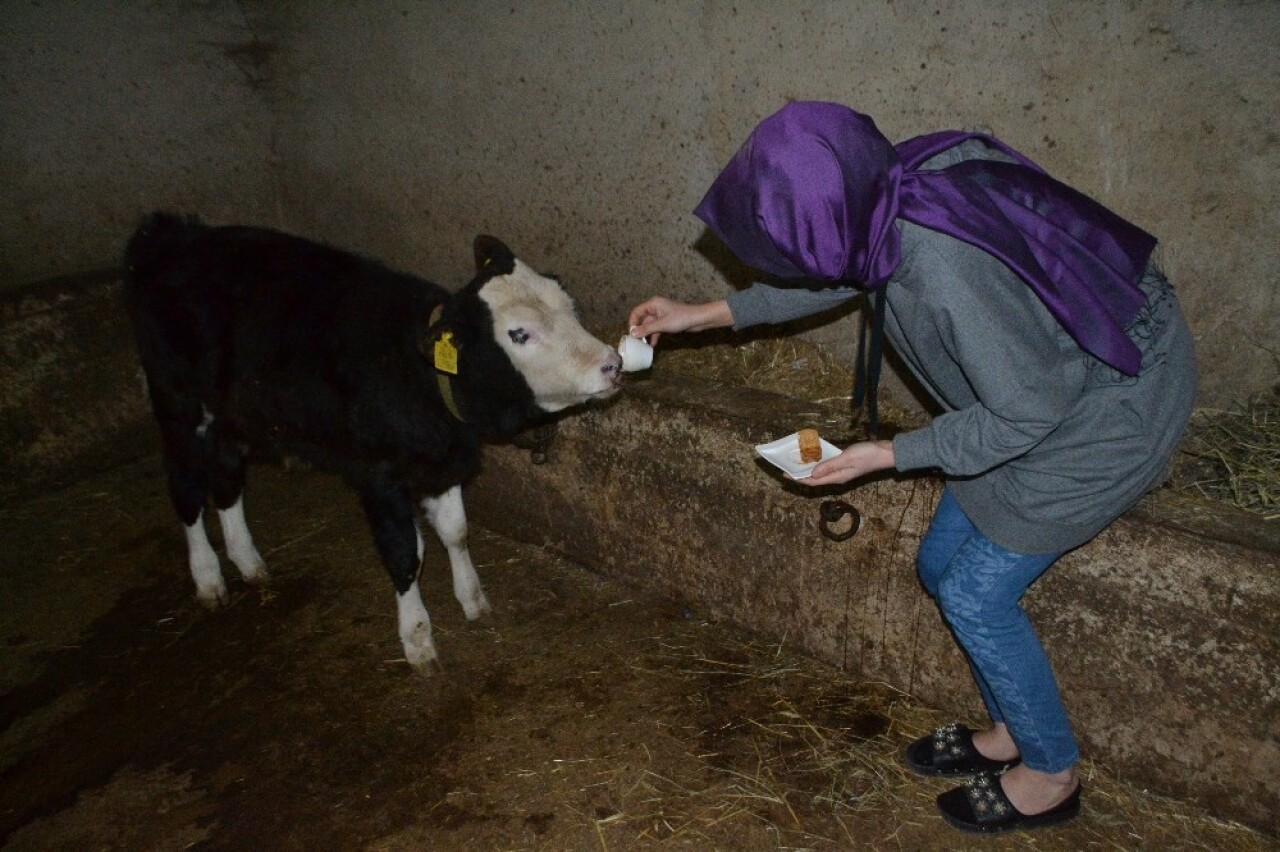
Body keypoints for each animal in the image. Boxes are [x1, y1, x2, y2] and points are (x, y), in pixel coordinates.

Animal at [122, 212, 622, 670]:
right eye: (520, 334)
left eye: (568, 302)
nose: (612, 364)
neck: (421, 376)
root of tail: (173, 233)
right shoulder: (379, 478)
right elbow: (405, 555)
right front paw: (417, 639)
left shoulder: (441, 462)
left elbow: (456, 532)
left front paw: (473, 599)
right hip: (178, 404)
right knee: (186, 486)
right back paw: (208, 577)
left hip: (232, 415)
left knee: (226, 478)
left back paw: (248, 561)